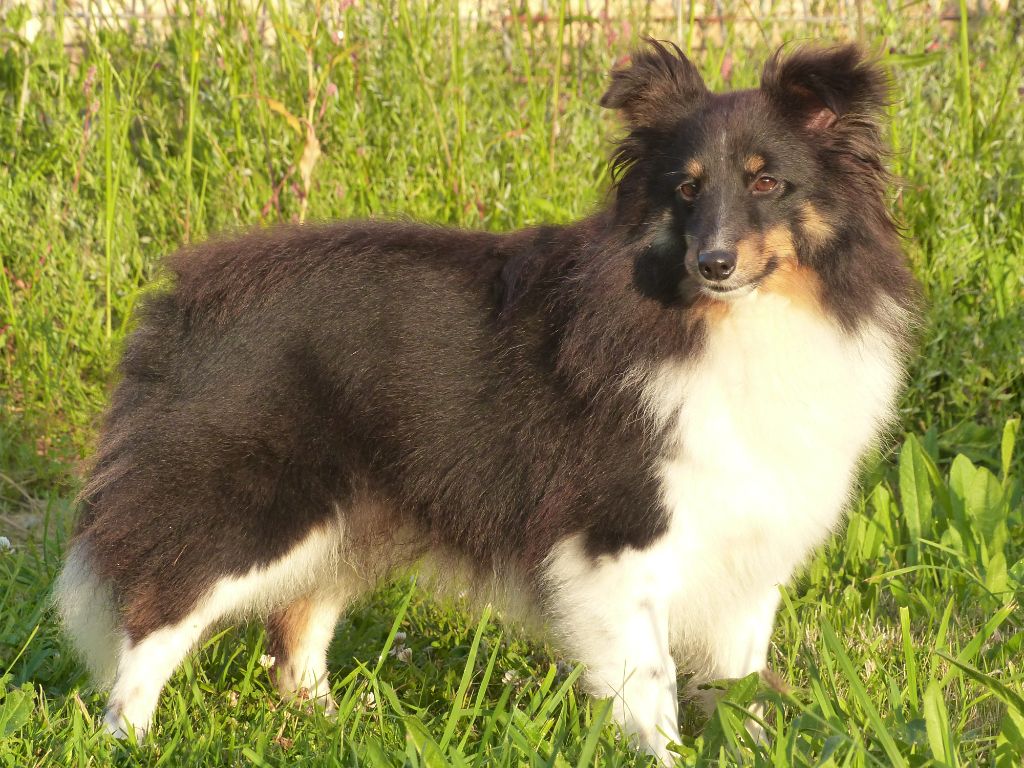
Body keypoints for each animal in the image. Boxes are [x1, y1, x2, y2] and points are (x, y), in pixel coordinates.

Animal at [56, 41, 917, 765]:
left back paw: (335, 728)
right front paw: (662, 752)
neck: (727, 322)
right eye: (686, 189)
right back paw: (128, 740)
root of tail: (182, 294)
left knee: (296, 630)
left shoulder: (751, 545)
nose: (714, 263)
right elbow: (652, 683)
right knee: (155, 616)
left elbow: (743, 691)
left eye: (768, 182)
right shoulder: (618, 538)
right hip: (253, 504)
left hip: (355, 520)